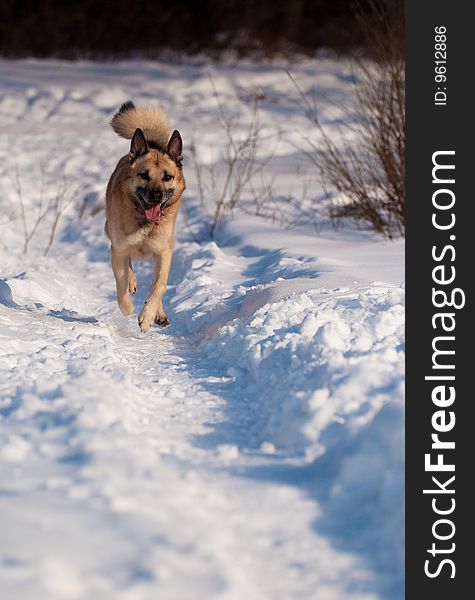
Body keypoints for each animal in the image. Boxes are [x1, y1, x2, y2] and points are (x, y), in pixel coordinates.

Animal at [106, 100, 186, 330]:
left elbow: (160, 286)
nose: (156, 196)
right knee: (128, 268)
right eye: (144, 175)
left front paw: (148, 316)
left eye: (167, 177)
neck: (145, 222)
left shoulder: (163, 252)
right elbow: (121, 279)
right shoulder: (119, 248)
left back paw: (159, 313)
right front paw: (127, 307)